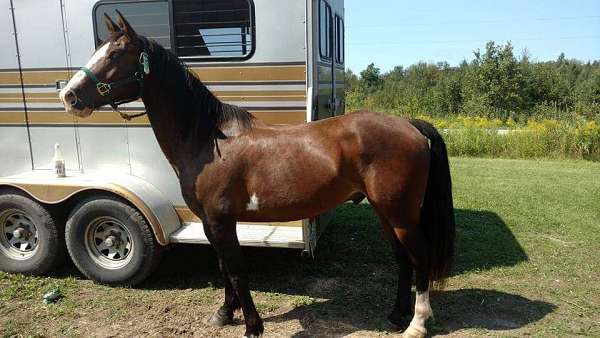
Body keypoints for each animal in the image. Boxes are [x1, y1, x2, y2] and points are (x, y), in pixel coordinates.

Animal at [59, 11, 454, 338]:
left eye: (114, 54)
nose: (69, 96)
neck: (207, 140)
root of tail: (410, 126)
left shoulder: (220, 220)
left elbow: (236, 269)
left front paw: (252, 326)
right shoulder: (211, 222)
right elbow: (223, 266)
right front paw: (224, 313)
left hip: (399, 213)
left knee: (420, 258)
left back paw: (416, 325)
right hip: (386, 211)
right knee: (403, 259)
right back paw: (396, 316)